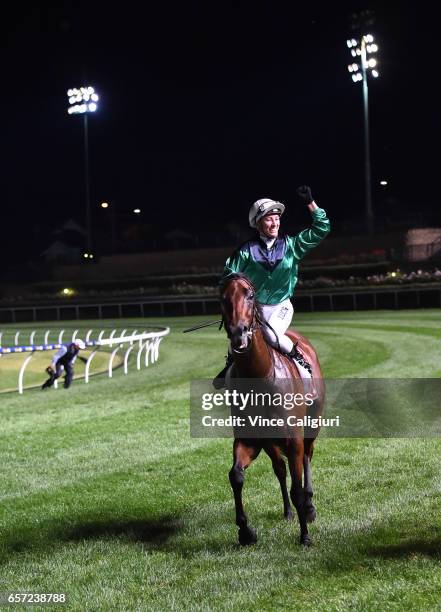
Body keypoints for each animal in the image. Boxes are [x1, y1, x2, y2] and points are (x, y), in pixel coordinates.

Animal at [222, 274, 324, 548]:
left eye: (249, 295)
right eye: (223, 298)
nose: (238, 333)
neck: (260, 375)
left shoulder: (294, 439)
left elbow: (297, 486)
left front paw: (305, 536)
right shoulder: (249, 439)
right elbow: (236, 476)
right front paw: (245, 531)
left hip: (312, 425)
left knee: (307, 457)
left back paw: (308, 507)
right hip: (270, 443)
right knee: (279, 468)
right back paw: (288, 511)